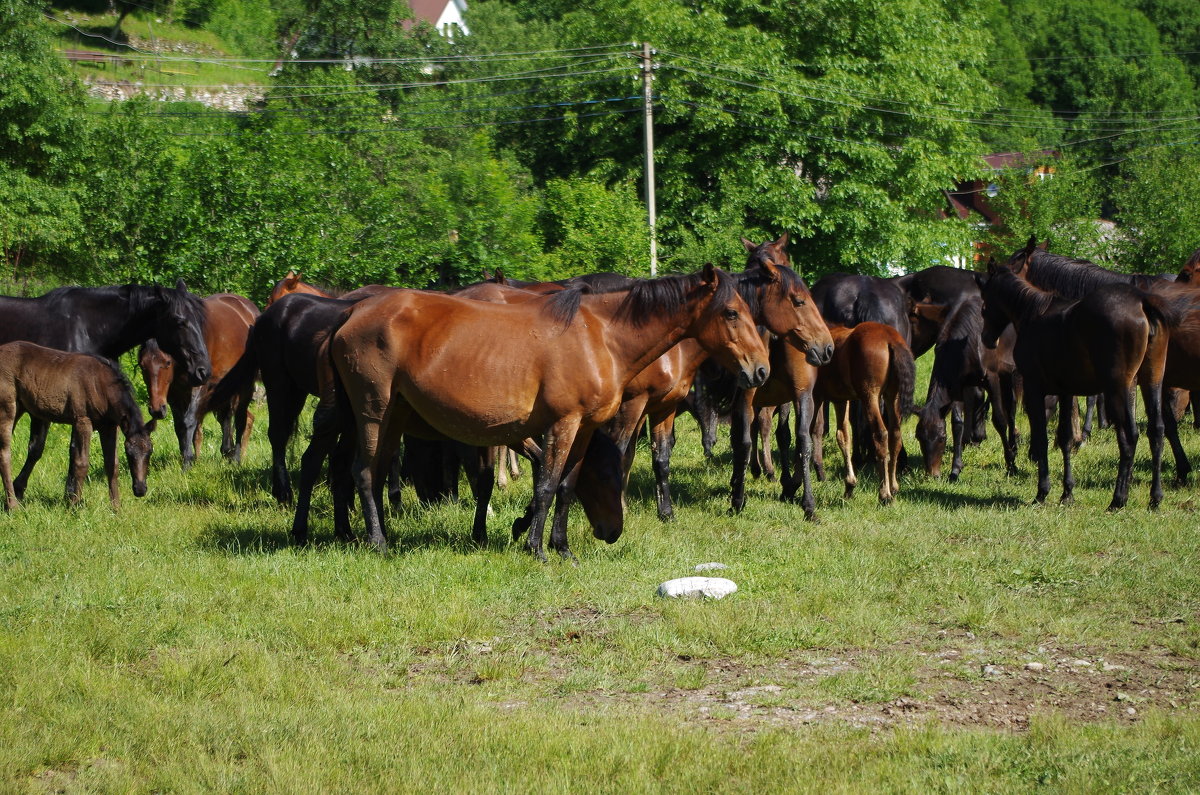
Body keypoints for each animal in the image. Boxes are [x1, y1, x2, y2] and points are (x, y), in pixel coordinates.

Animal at [0, 343, 152, 511]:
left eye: (150, 452)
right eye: (129, 453)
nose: (140, 489)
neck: (101, 385)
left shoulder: (110, 427)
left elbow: (112, 465)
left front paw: (116, 508)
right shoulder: (82, 421)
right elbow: (81, 463)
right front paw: (73, 506)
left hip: (20, 407)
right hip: (7, 406)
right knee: (5, 454)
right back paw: (12, 505)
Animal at [140, 293, 262, 470]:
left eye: (167, 362)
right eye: (142, 365)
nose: (156, 410)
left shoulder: (200, 386)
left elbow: (189, 421)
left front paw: (187, 462)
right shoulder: (174, 394)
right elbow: (179, 426)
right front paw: (187, 458)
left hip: (244, 386)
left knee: (240, 419)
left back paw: (236, 458)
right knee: (227, 418)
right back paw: (227, 452)